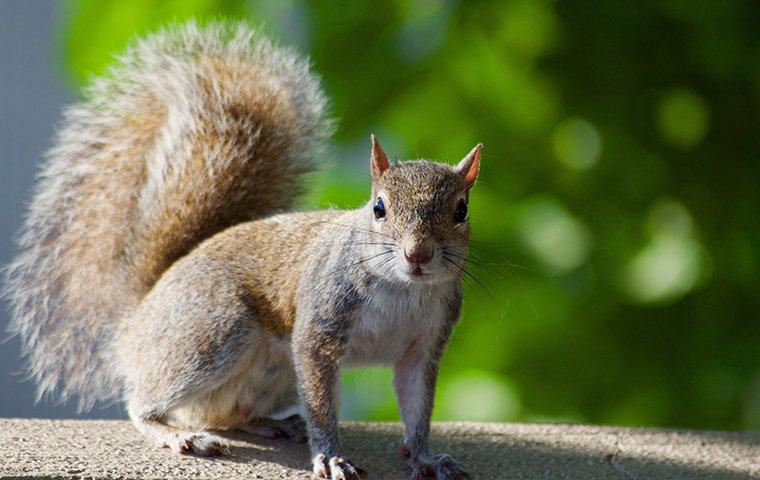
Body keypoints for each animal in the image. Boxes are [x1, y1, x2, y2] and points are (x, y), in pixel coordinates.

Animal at [4, 20, 480, 478]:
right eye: (378, 207)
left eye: (461, 210)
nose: (417, 254)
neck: (403, 289)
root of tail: (136, 319)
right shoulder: (321, 325)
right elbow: (322, 405)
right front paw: (330, 456)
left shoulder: (425, 345)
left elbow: (417, 408)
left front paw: (425, 457)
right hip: (211, 332)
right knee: (145, 404)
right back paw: (178, 434)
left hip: (273, 374)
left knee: (227, 412)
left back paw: (273, 424)